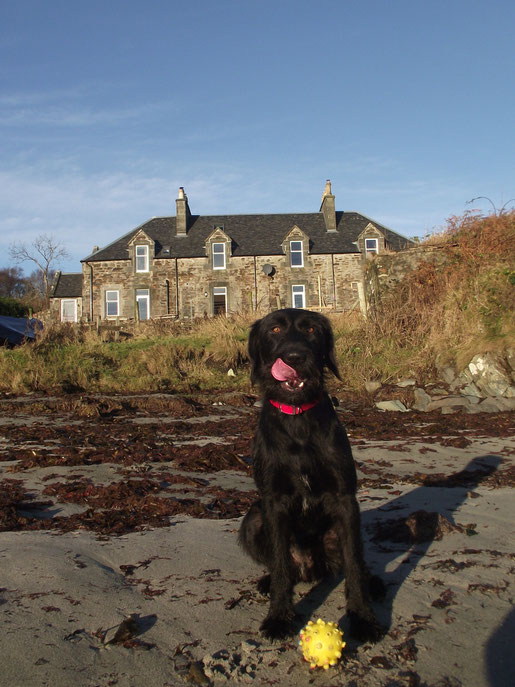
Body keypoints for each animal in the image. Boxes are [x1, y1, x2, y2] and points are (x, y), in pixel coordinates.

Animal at [239, 310, 382, 644]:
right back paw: (268, 582)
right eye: (275, 329)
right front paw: (278, 617)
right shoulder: (273, 502)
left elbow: (354, 563)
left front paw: (362, 617)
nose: (294, 357)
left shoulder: (345, 500)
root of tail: (309, 570)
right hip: (252, 519)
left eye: (312, 330)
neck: (298, 418)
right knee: (282, 566)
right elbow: (280, 566)